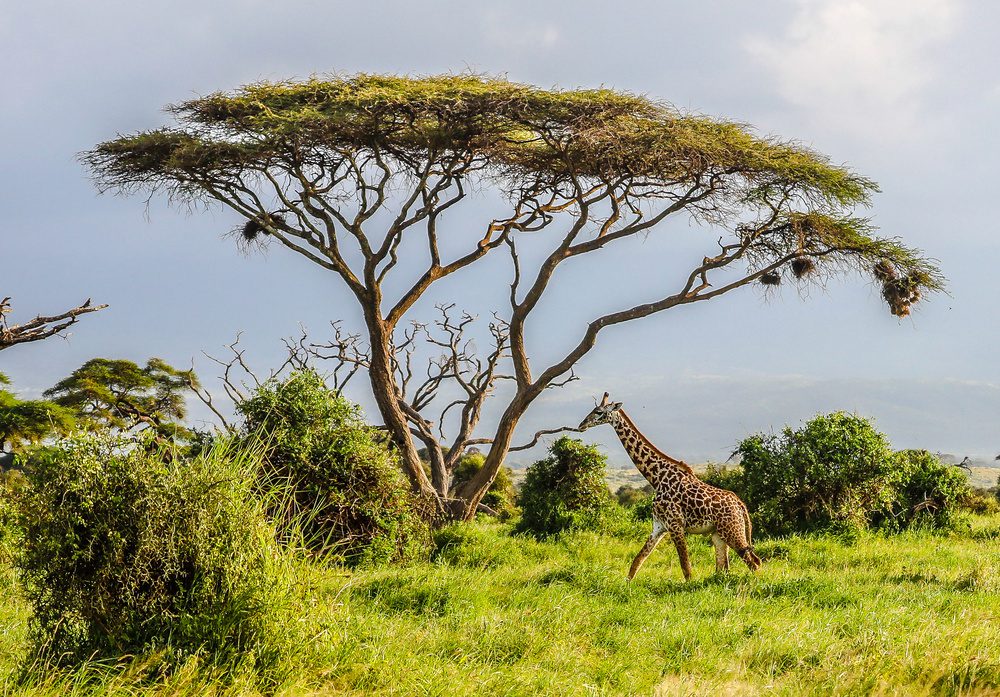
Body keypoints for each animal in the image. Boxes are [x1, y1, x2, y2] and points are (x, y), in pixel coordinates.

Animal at [579, 393, 762, 581]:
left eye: (599, 412)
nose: (581, 425)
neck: (656, 478)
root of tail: (741, 505)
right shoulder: (659, 526)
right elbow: (637, 562)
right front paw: (626, 585)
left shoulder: (675, 525)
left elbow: (686, 568)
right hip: (718, 534)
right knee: (723, 567)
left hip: (733, 531)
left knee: (754, 563)